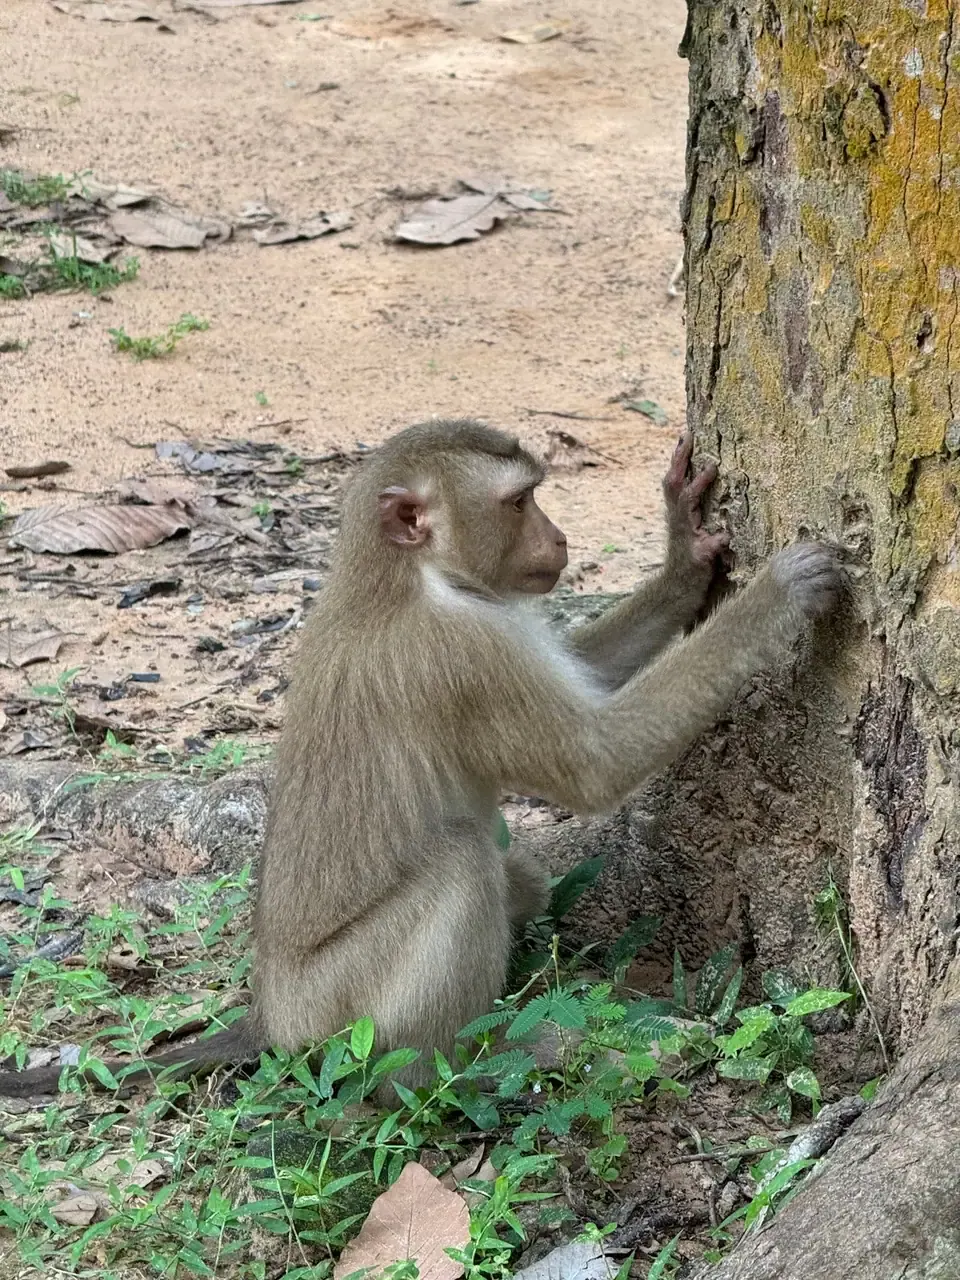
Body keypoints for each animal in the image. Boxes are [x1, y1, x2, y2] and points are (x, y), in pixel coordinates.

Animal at [0, 420, 842, 1103]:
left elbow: (591, 676)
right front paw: (776, 597)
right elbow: (594, 763)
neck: (402, 573)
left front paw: (682, 557)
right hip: (336, 1011)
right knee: (464, 866)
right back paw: (465, 1068)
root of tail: (268, 1014)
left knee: (517, 876)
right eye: (519, 502)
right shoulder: (462, 653)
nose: (560, 540)